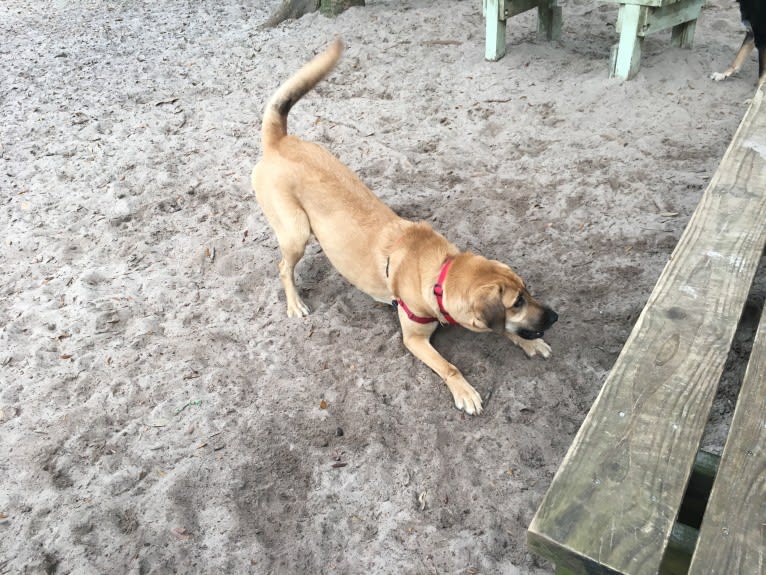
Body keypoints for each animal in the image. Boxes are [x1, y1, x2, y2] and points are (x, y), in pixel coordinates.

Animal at [252, 39, 560, 414]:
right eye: (517, 303)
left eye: (526, 292)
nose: (554, 317)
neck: (439, 273)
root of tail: (278, 141)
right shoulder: (413, 339)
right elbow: (450, 366)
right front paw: (465, 391)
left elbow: (502, 330)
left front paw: (528, 343)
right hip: (295, 233)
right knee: (284, 267)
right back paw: (294, 303)